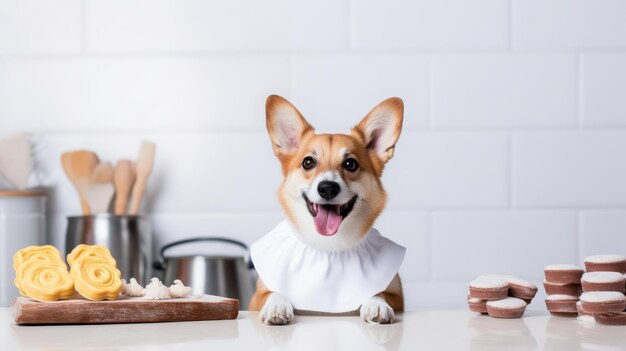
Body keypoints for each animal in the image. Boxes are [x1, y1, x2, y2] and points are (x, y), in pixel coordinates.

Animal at [249, 95, 404, 326]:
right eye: (308, 162)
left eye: (350, 164)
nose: (328, 188)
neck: (329, 248)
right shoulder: (256, 297)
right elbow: (274, 291)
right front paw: (277, 306)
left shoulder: (397, 295)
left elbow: (378, 291)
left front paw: (376, 304)